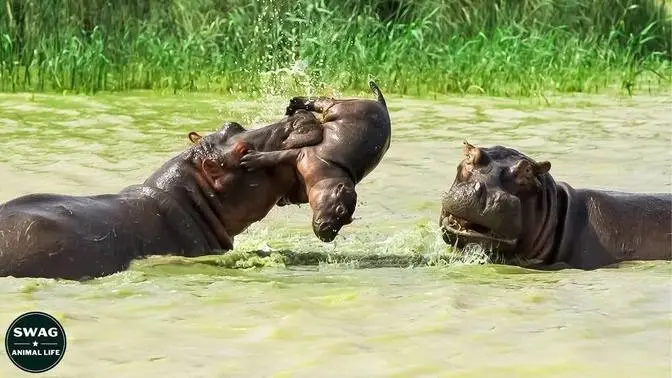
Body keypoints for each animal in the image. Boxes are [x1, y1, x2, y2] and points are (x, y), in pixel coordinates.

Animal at [239, 79, 392, 242]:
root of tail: (382, 104)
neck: (332, 173)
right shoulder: (302, 154)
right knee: (322, 101)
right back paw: (292, 105)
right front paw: (249, 160)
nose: (330, 236)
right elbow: (277, 156)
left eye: (349, 220)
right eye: (340, 209)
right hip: (336, 108)